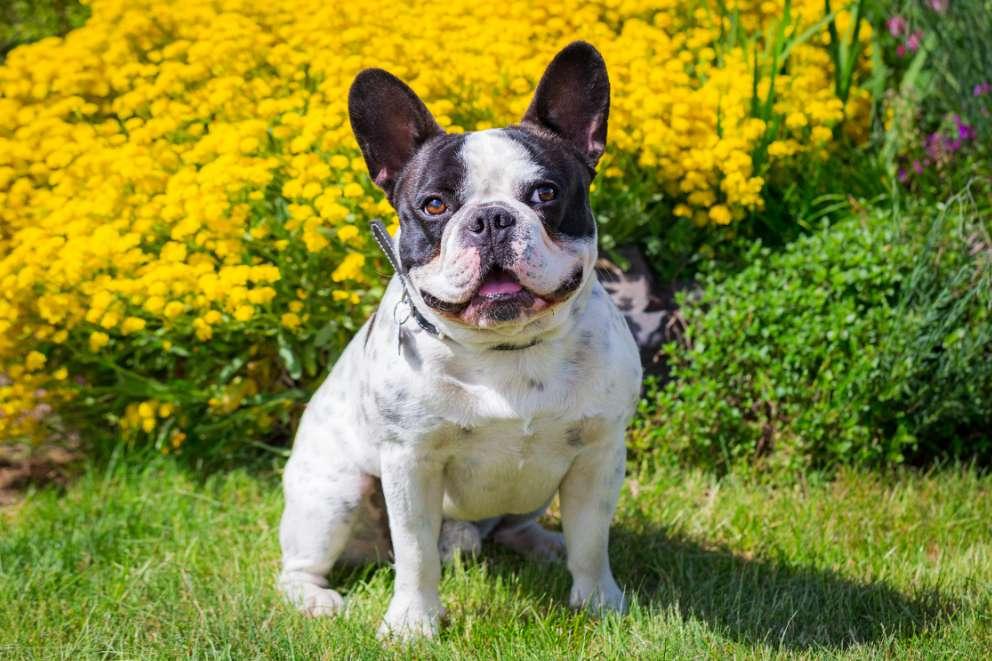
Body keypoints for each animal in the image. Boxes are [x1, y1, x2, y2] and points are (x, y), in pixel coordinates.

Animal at [278, 41, 644, 640]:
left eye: (545, 194)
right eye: (434, 205)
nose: (492, 219)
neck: (506, 350)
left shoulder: (598, 455)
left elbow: (592, 541)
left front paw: (598, 603)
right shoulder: (411, 464)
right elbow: (416, 553)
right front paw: (413, 623)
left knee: (518, 528)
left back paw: (545, 544)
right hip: (333, 496)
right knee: (300, 565)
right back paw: (315, 599)